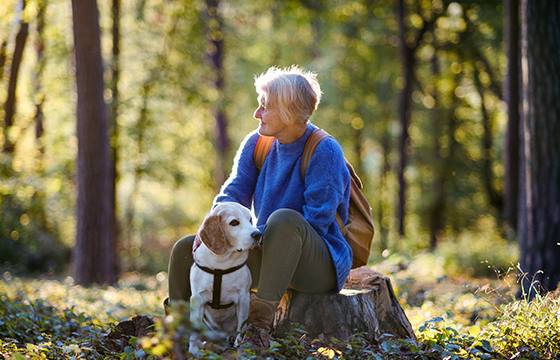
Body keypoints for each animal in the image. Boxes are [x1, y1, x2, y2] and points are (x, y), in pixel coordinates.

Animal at [186, 202, 260, 354]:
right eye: (234, 222)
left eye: (250, 219)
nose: (258, 234)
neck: (221, 264)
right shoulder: (197, 298)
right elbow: (194, 329)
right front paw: (193, 350)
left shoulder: (243, 298)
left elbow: (242, 326)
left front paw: (239, 344)